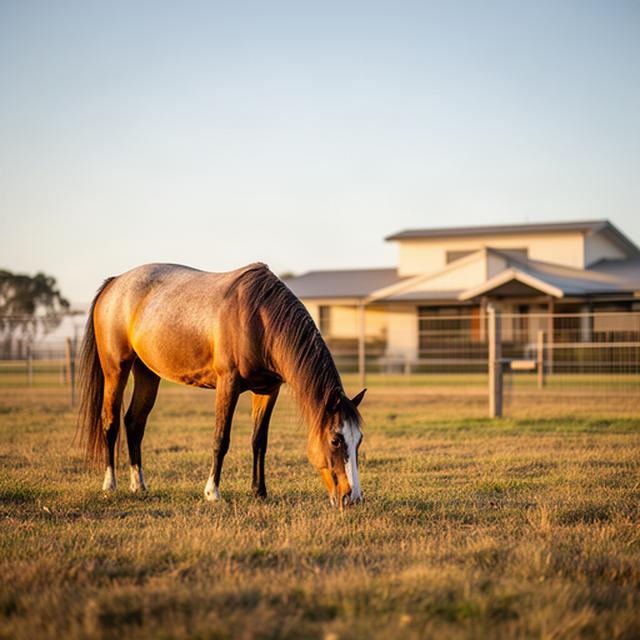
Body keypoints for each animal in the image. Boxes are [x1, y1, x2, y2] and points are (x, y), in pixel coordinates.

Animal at [77, 262, 366, 507]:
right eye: (335, 440)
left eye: (359, 439)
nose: (352, 498)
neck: (259, 318)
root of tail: (115, 283)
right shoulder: (228, 384)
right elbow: (221, 439)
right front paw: (212, 492)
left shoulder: (268, 390)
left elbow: (259, 440)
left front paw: (259, 492)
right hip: (116, 370)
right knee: (110, 423)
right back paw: (110, 484)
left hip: (147, 373)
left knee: (134, 422)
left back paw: (139, 485)